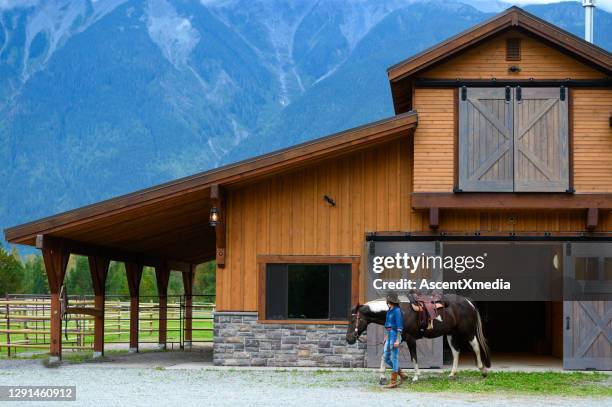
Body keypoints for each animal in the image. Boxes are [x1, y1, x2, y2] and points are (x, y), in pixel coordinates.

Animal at [344, 294, 492, 384]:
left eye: (353, 320)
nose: (349, 339)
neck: (399, 312)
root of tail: (468, 302)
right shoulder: (399, 337)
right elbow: (384, 355)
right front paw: (382, 377)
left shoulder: (410, 339)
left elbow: (414, 357)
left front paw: (416, 376)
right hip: (451, 334)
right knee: (456, 352)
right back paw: (452, 374)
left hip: (468, 332)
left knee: (476, 347)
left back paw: (483, 371)